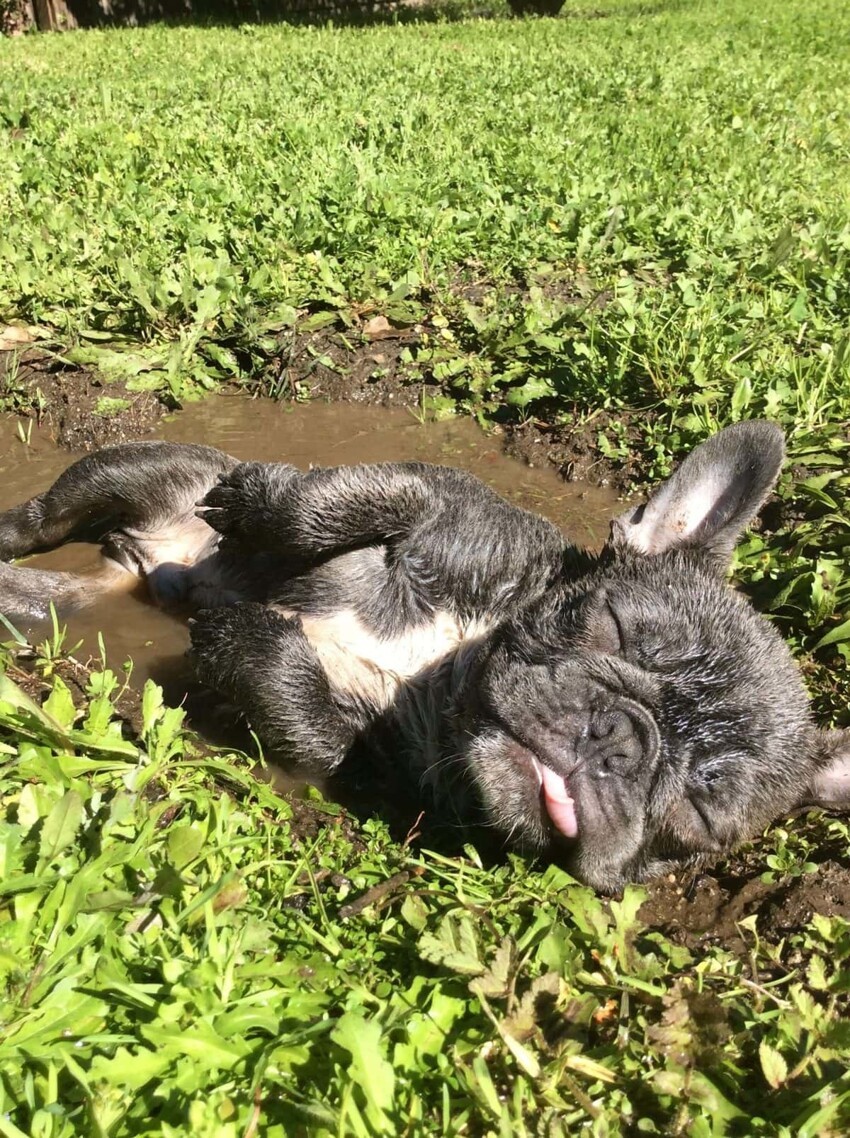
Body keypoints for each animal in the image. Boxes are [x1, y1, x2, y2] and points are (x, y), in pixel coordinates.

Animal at [1, 421, 850, 887]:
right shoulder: (439, 502)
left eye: (696, 817)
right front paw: (258, 502)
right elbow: (328, 503)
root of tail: (138, 557)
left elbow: (310, 724)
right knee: (48, 514)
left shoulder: (377, 758)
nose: (618, 737)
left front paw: (248, 639)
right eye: (611, 627)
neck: (448, 669)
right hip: (136, 471)